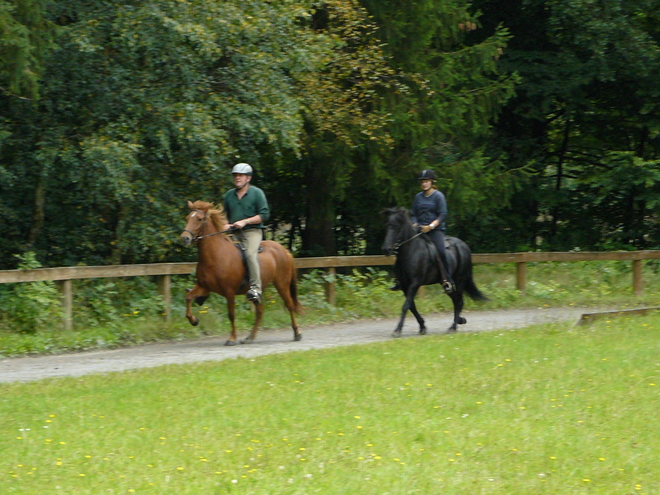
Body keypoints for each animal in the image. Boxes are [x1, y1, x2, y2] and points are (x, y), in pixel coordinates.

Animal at [180, 201, 304, 344]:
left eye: (199, 219)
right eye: (187, 218)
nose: (185, 238)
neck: (216, 254)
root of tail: (284, 250)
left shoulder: (229, 291)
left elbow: (231, 314)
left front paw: (232, 338)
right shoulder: (204, 287)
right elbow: (188, 297)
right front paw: (194, 320)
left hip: (282, 284)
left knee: (290, 305)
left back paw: (297, 333)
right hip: (259, 291)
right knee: (260, 311)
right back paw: (250, 337)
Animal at [382, 207, 484, 340]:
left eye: (397, 227)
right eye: (387, 226)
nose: (386, 249)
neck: (411, 252)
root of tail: (464, 246)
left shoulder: (415, 283)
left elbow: (406, 305)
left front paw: (397, 330)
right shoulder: (404, 285)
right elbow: (411, 306)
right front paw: (422, 327)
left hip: (459, 280)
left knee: (459, 301)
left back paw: (453, 327)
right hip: (445, 284)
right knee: (456, 300)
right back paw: (460, 320)